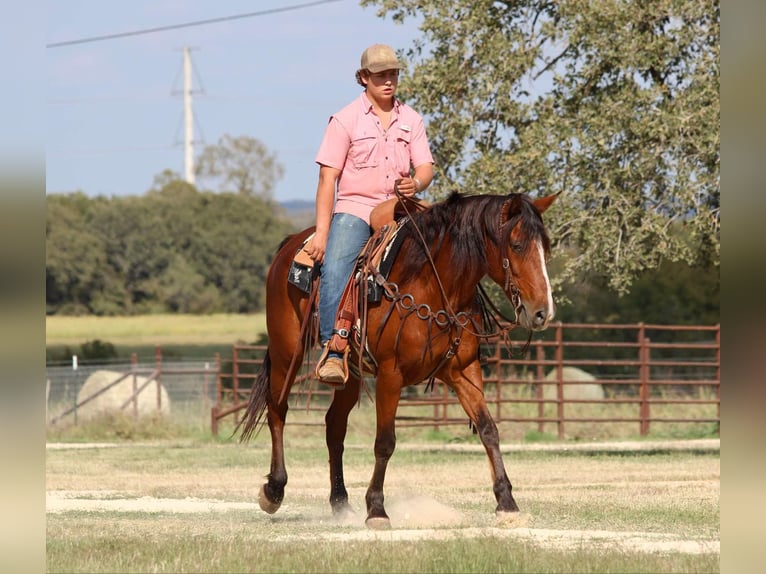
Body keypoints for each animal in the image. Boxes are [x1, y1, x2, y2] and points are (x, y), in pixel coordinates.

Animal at [240, 192, 560, 532]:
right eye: (517, 245)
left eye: (547, 247)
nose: (543, 312)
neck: (433, 285)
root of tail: (291, 244)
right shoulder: (390, 375)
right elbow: (385, 441)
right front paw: (376, 509)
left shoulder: (463, 371)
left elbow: (489, 430)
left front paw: (507, 503)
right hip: (287, 352)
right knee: (277, 410)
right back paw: (274, 490)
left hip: (350, 373)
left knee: (334, 426)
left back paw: (340, 502)